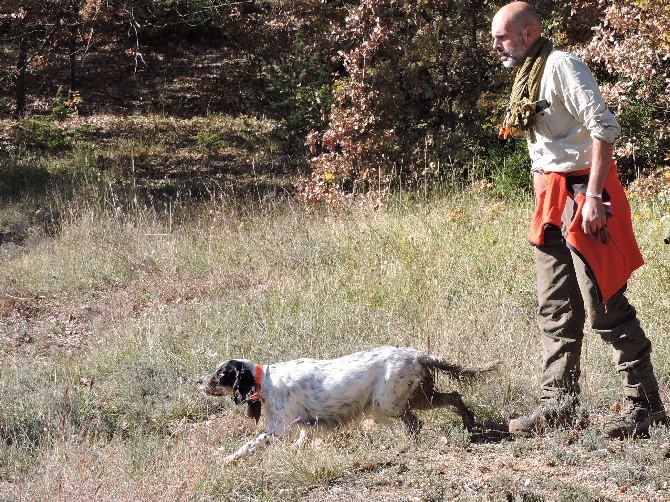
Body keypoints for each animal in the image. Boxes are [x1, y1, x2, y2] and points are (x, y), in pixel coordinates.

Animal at [197, 348, 502, 460]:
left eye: (220, 374)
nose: (199, 381)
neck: (265, 380)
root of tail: (417, 354)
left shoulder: (278, 428)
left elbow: (250, 444)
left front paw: (230, 458)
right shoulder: (303, 423)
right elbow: (304, 436)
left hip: (388, 403)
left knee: (416, 422)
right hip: (418, 396)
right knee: (454, 397)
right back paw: (468, 423)